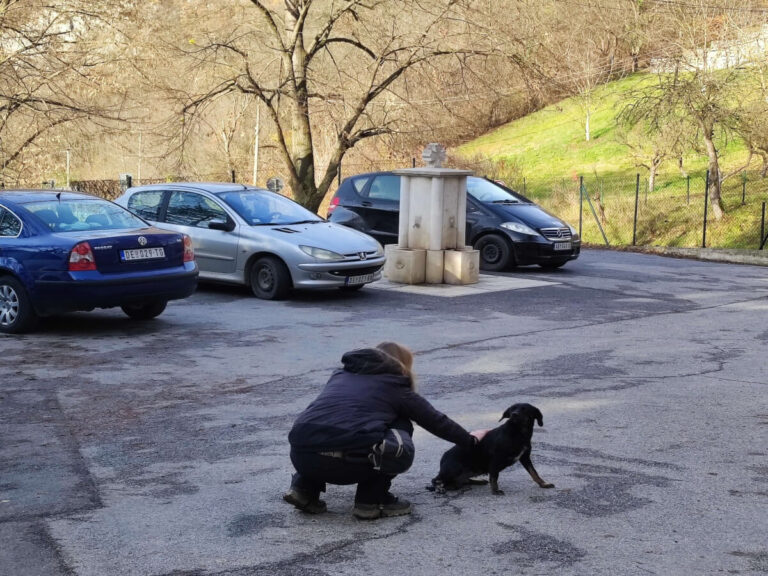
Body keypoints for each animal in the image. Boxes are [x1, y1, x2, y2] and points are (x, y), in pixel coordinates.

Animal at [428, 402, 556, 492]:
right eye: (512, 409)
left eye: (524, 409)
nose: (514, 414)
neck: (519, 433)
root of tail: (443, 459)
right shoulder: (496, 458)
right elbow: (494, 476)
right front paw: (495, 490)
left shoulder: (525, 457)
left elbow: (534, 472)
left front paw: (543, 484)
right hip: (455, 467)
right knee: (436, 480)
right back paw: (440, 488)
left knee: (460, 480)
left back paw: (475, 481)